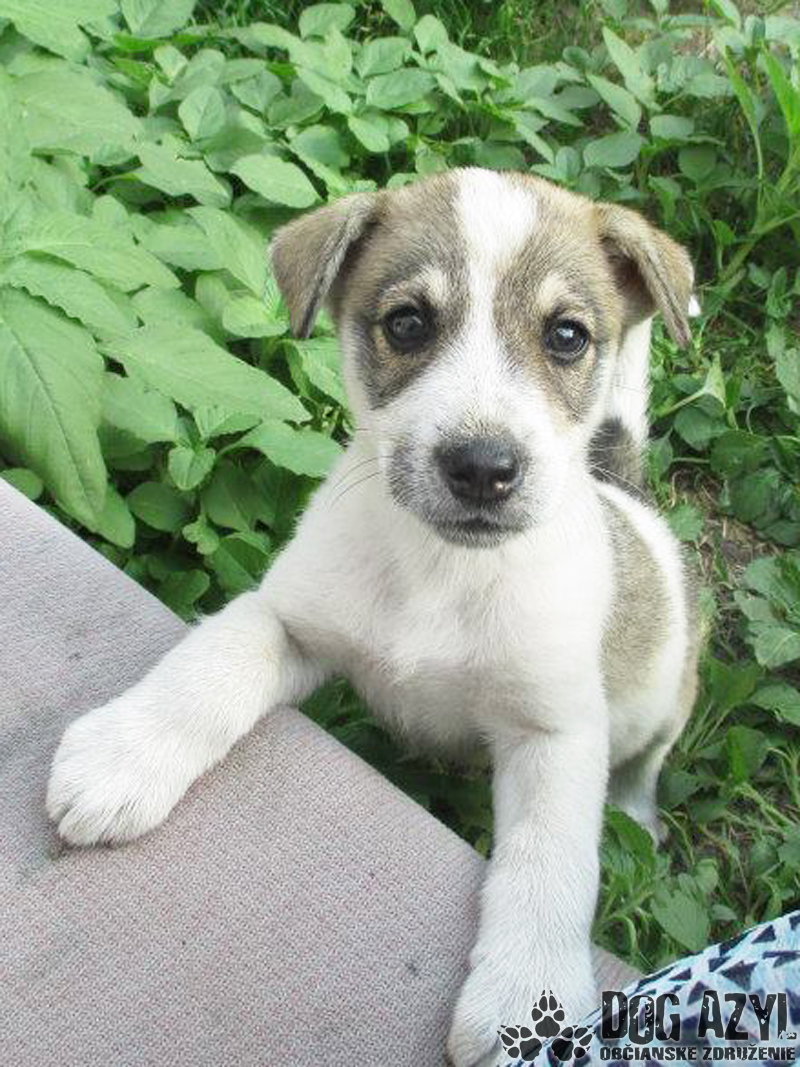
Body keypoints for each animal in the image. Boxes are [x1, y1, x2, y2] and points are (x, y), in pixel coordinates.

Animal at [47, 168, 700, 1067]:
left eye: (567, 335)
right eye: (408, 322)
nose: (482, 467)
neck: (441, 570)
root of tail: (625, 492)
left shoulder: (555, 732)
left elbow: (550, 860)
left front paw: (529, 1000)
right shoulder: (285, 616)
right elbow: (208, 670)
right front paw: (123, 755)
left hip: (669, 701)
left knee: (642, 769)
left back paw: (637, 813)